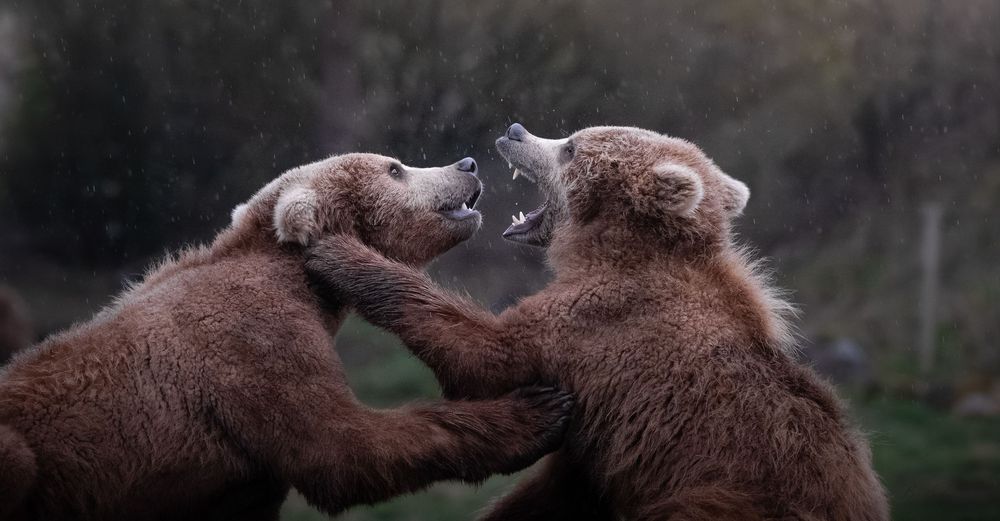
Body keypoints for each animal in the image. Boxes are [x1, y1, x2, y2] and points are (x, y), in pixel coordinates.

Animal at [0, 153, 574, 520]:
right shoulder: (253, 343)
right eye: (395, 167)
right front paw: (538, 411)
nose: (467, 166)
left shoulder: (232, 485)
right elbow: (341, 447)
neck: (303, 285)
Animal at [304, 125, 890, 521]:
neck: (612, 252)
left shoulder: (603, 328)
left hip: (719, 497)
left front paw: (339, 250)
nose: (515, 131)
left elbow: (486, 356)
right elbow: (549, 493)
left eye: (570, 147)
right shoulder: (598, 456)